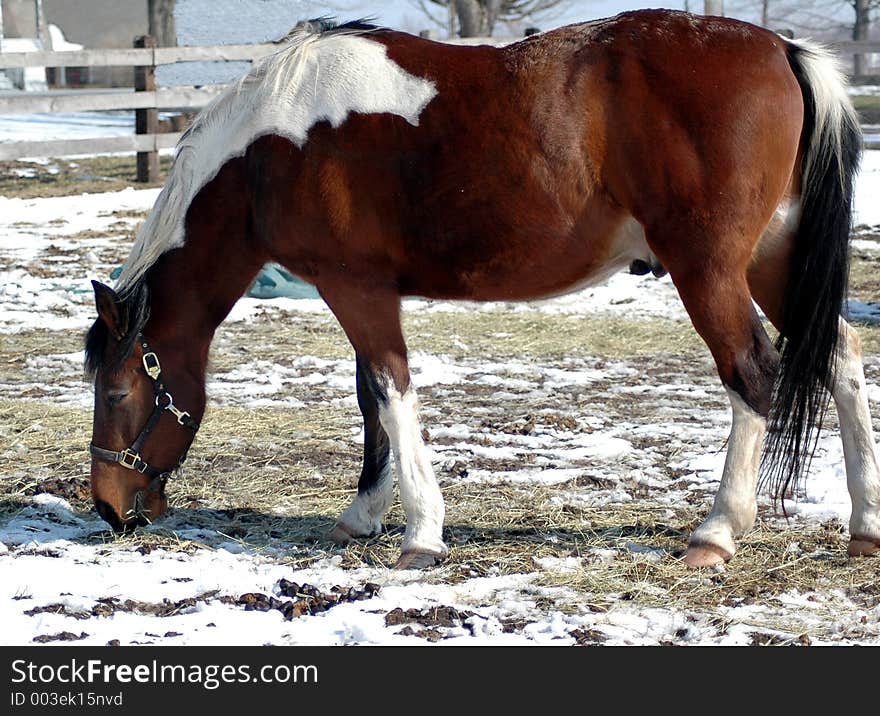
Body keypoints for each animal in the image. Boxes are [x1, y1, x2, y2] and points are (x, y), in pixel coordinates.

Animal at [84, 11, 880, 568]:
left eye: (117, 392)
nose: (110, 509)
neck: (269, 151)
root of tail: (783, 51)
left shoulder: (355, 288)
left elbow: (391, 391)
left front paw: (421, 532)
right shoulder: (365, 292)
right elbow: (370, 398)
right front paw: (363, 514)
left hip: (708, 270)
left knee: (753, 374)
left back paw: (717, 530)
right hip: (771, 261)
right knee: (841, 355)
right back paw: (865, 523)